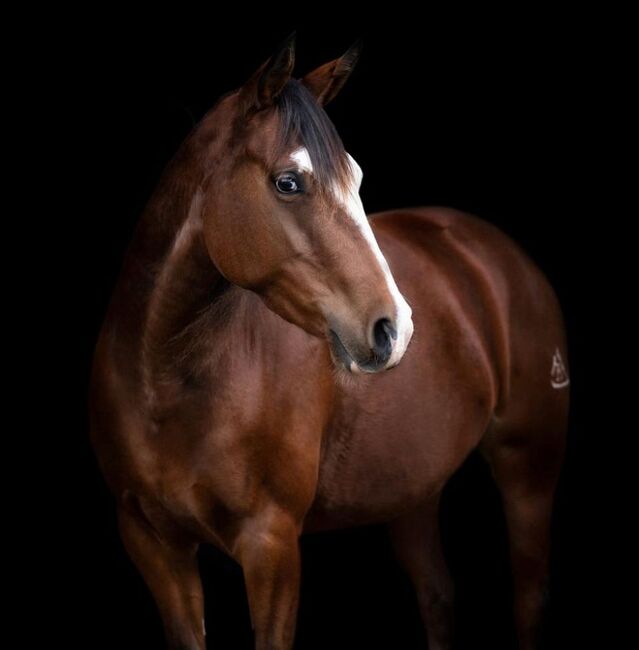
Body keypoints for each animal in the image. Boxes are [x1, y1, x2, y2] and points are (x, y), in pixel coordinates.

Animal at [89, 35, 568, 648]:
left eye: (356, 179)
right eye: (288, 181)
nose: (394, 328)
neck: (167, 385)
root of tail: (493, 254)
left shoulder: (271, 546)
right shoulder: (154, 547)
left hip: (527, 472)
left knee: (529, 598)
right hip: (411, 488)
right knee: (438, 596)